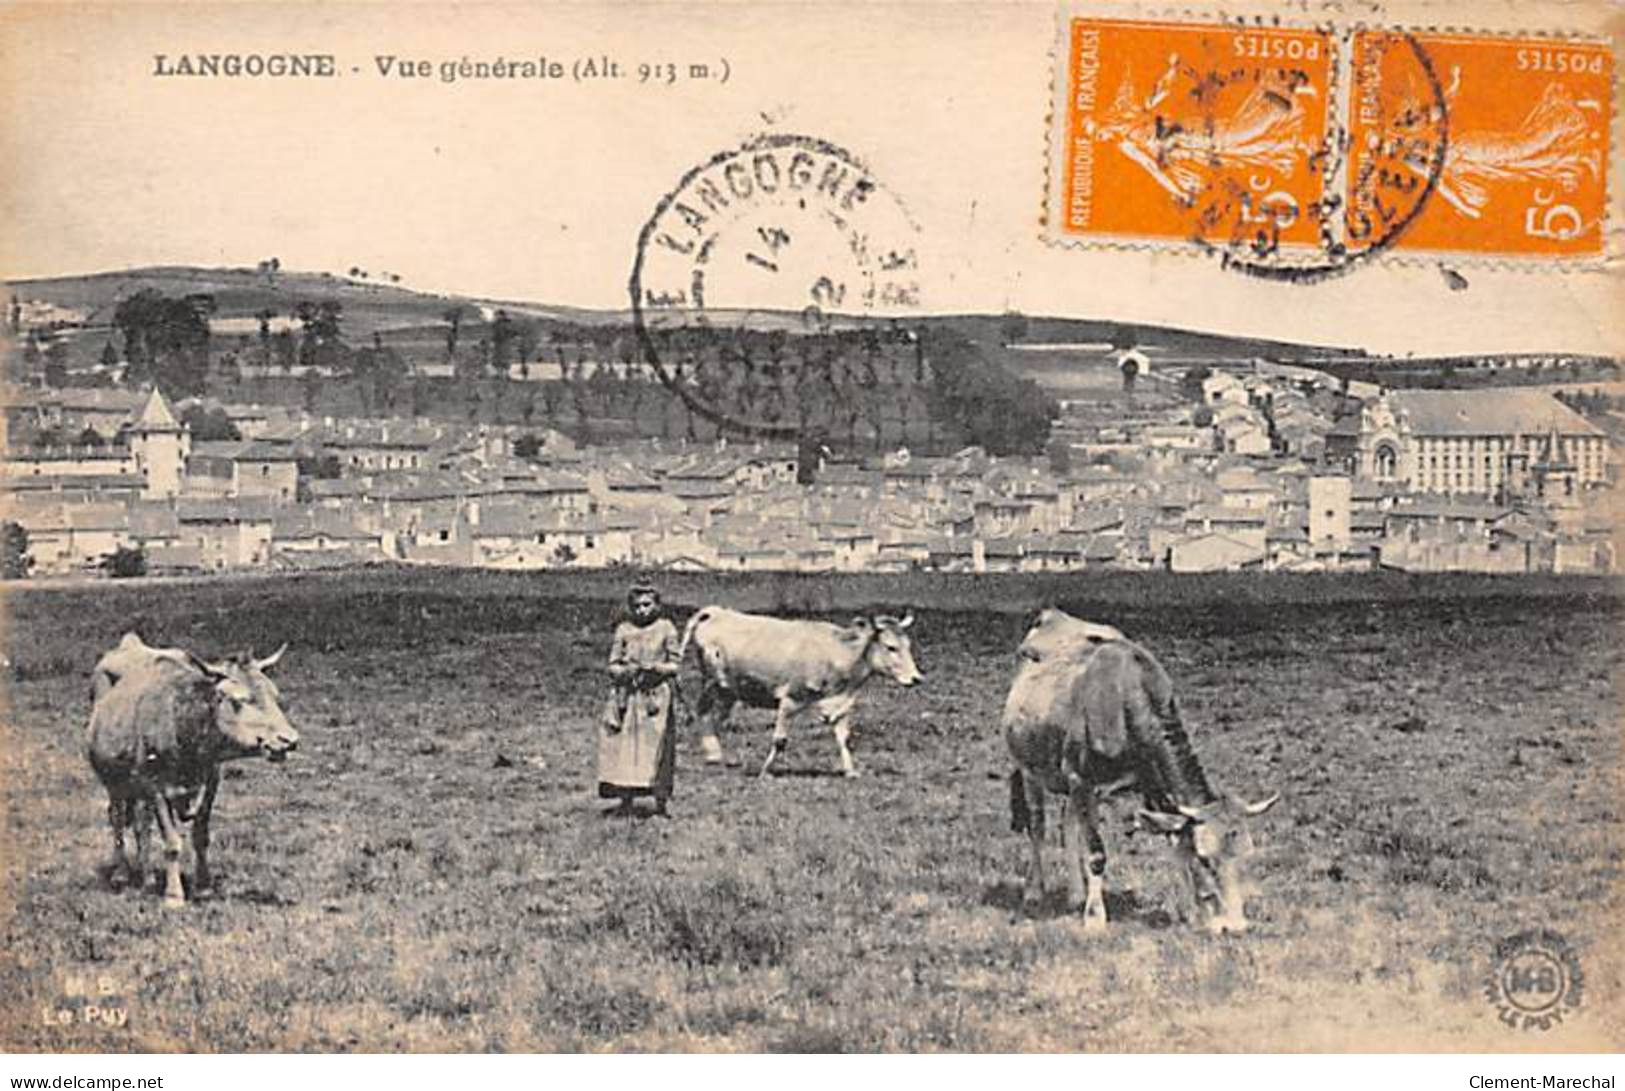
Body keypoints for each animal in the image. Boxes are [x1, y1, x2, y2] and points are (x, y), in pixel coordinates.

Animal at [88, 630, 299, 904]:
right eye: (238, 700)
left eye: (275, 695)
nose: (289, 740)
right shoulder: (157, 787)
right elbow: (171, 842)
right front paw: (174, 895)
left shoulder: (211, 780)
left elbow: (200, 835)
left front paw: (204, 886)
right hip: (113, 780)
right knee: (117, 817)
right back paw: (121, 873)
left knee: (141, 825)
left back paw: (146, 878)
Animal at [676, 604, 929, 777]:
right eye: (891, 647)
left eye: (907, 645)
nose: (917, 678)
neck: (836, 653)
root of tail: (715, 612)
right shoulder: (790, 698)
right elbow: (780, 740)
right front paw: (765, 771)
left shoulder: (842, 703)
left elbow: (843, 738)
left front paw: (850, 771)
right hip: (713, 683)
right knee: (703, 712)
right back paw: (713, 754)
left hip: (729, 691)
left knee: (716, 717)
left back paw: (718, 755)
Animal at [1001, 611, 1280, 936]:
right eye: (1205, 858)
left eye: (1248, 855)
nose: (1235, 926)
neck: (1123, 704)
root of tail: (1053, 615)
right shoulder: (1081, 778)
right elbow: (1096, 853)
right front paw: (1095, 918)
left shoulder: (1150, 781)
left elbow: (1173, 842)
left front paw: (1189, 912)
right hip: (1030, 768)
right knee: (1038, 827)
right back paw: (1035, 892)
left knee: (1068, 822)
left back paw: (1075, 894)